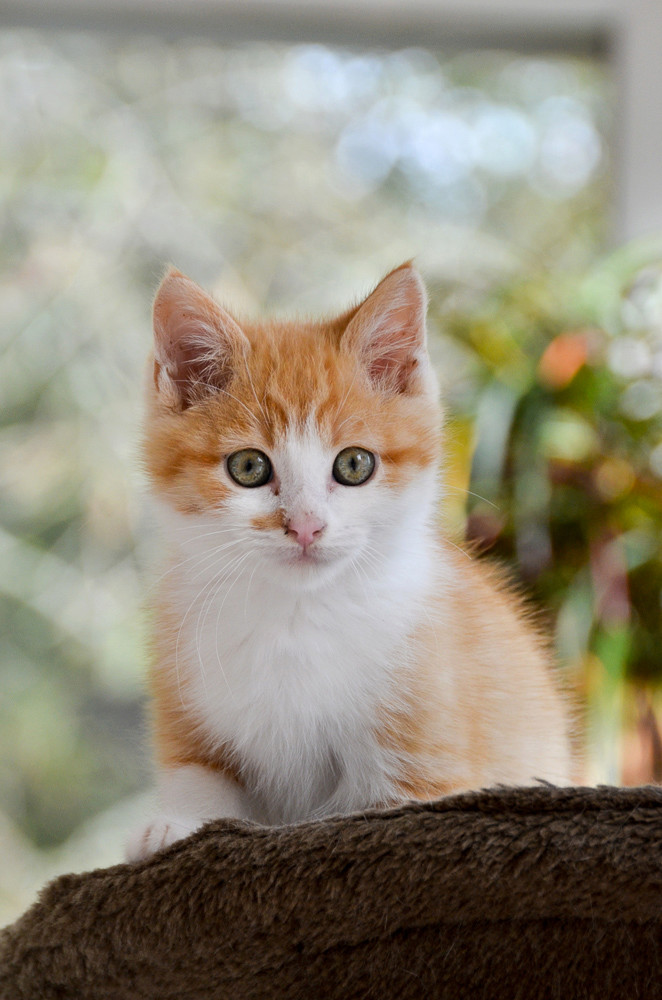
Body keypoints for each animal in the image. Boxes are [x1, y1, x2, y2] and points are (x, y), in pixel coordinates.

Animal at [127, 260, 572, 860]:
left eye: (354, 464)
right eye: (248, 467)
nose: (306, 526)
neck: (295, 617)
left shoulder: (427, 745)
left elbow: (390, 806)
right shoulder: (184, 684)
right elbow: (196, 770)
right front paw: (174, 825)